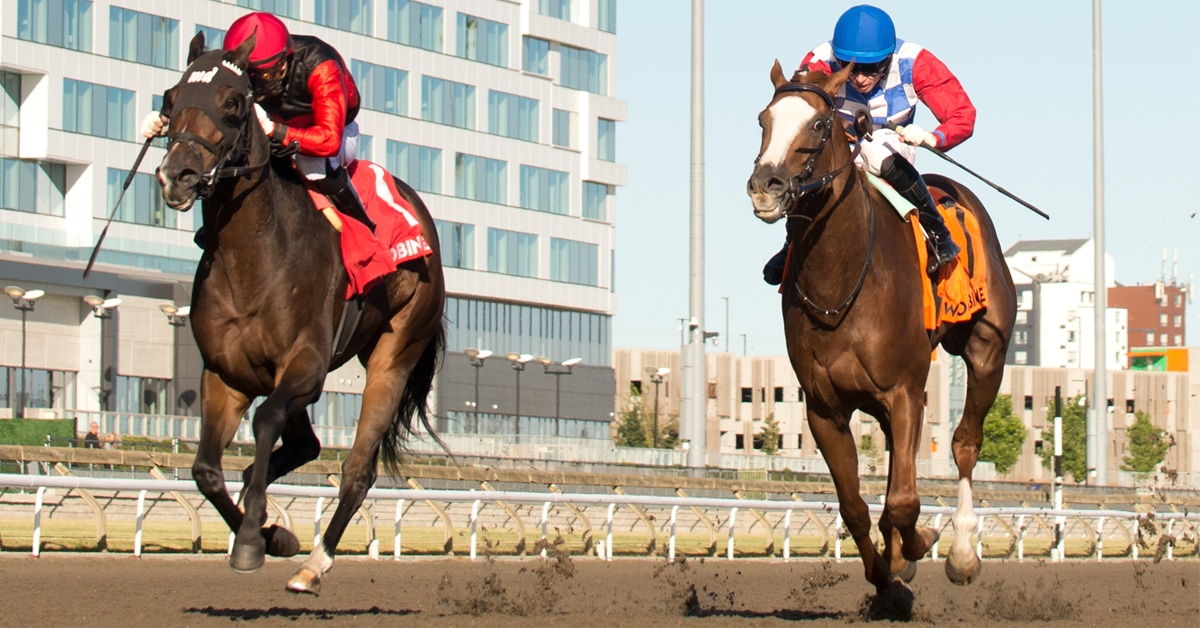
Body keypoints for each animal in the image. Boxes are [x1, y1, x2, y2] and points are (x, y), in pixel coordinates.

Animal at [155, 33, 445, 594]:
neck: (253, 256)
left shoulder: (306, 365)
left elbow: (265, 418)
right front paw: (268, 534)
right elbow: (205, 469)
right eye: (170, 99)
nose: (178, 174)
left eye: (233, 102)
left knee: (357, 469)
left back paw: (314, 564)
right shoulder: (226, 375)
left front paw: (253, 540)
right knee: (303, 446)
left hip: (396, 350)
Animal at [746, 61, 1016, 593]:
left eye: (818, 124)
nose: (766, 184)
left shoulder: (906, 391)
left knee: (964, 444)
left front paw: (920, 543)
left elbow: (905, 503)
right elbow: (855, 506)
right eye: (764, 120)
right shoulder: (824, 408)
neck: (841, 279)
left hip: (986, 352)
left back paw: (962, 553)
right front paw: (886, 568)